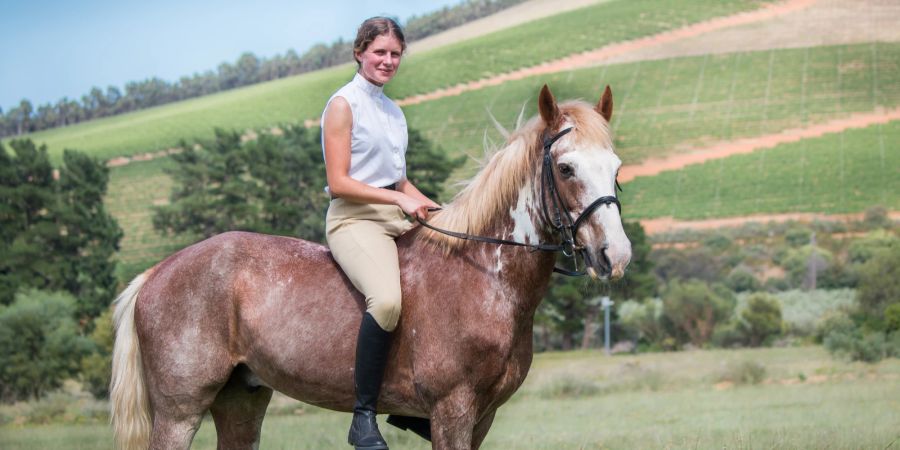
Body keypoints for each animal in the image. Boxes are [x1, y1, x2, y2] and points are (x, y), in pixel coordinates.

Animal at [110, 82, 632, 448]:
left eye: (615, 167)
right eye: (565, 168)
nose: (616, 256)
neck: (485, 276)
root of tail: (157, 272)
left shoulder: (483, 418)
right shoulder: (452, 411)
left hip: (241, 400)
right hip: (179, 411)